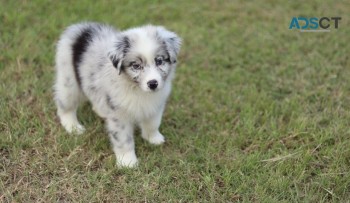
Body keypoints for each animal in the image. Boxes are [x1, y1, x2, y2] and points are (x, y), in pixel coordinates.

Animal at [54, 22, 183, 167]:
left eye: (159, 61)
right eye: (136, 66)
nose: (153, 84)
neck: (137, 89)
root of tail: (81, 26)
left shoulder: (155, 105)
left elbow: (153, 124)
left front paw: (154, 139)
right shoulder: (119, 116)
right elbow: (124, 139)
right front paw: (128, 162)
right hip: (68, 80)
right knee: (65, 105)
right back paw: (73, 126)